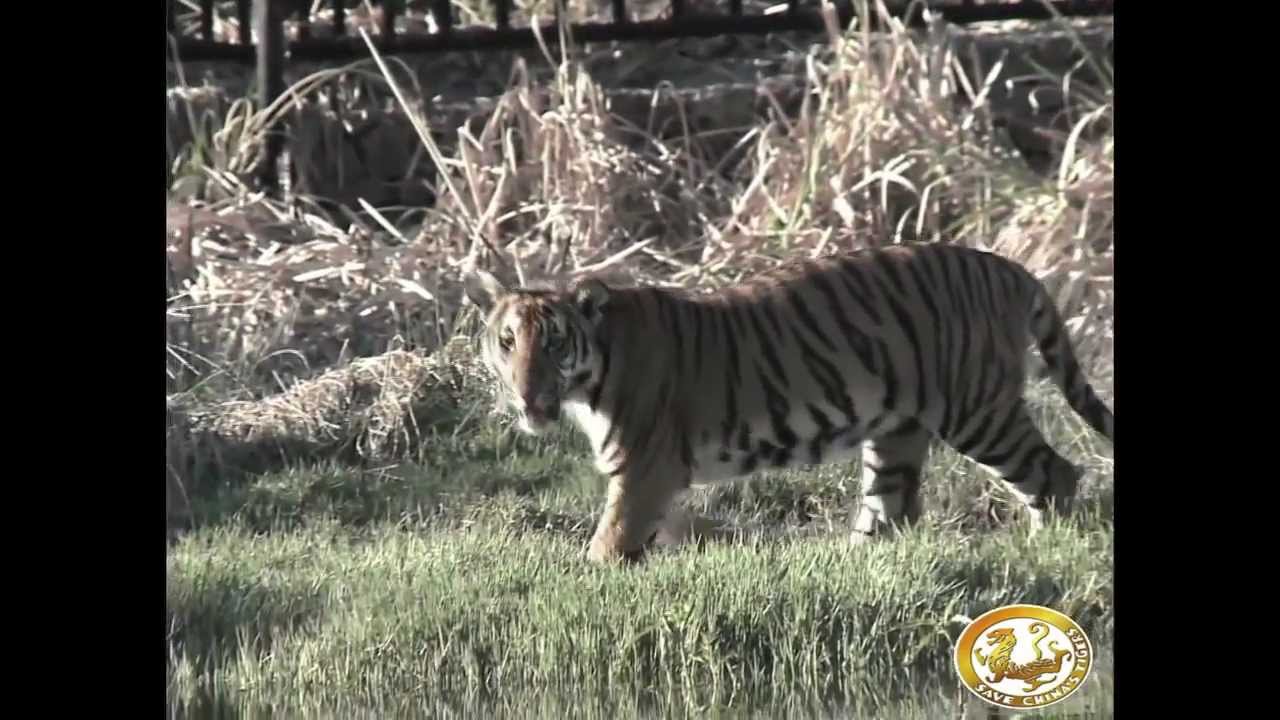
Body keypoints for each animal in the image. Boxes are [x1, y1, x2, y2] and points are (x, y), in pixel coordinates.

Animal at [463, 242, 1114, 564]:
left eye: (553, 344)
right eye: (507, 342)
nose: (526, 393)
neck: (592, 375)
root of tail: (1009, 267)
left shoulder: (645, 469)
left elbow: (608, 544)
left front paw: (589, 581)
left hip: (977, 410)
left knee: (1055, 472)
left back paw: (1045, 547)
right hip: (897, 430)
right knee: (892, 510)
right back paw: (854, 568)